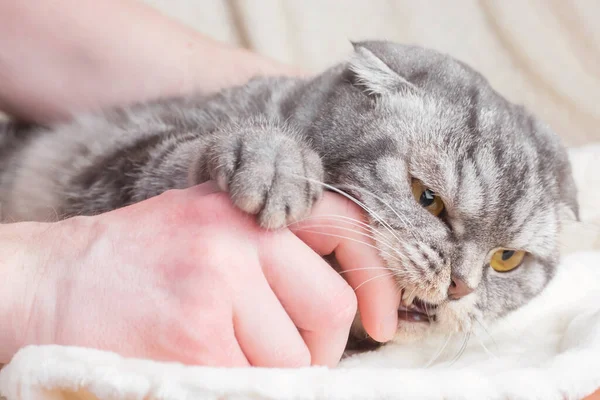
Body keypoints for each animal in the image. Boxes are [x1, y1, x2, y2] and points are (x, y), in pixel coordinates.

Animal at [0, 39, 580, 346]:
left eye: (506, 260)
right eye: (427, 198)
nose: (461, 287)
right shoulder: (97, 159)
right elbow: (173, 155)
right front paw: (275, 156)